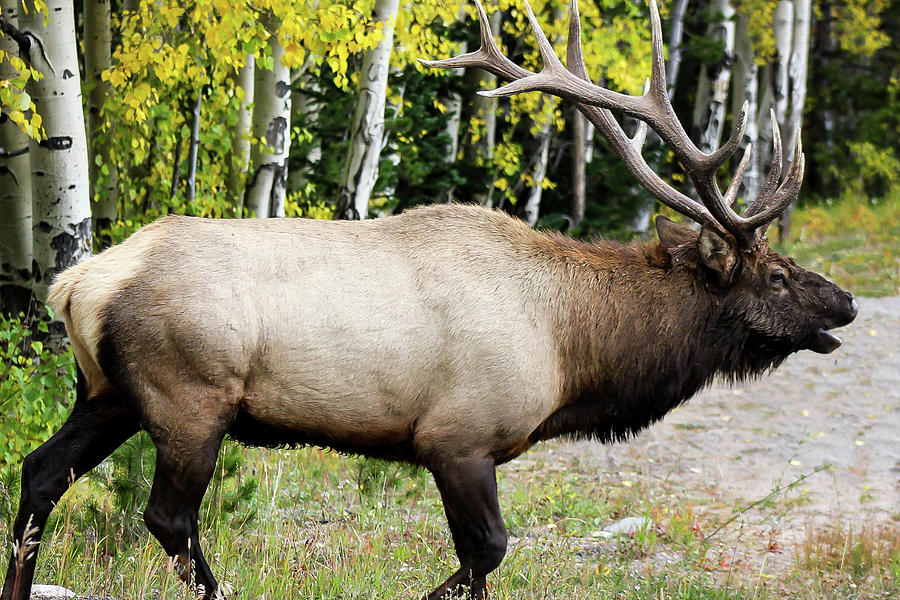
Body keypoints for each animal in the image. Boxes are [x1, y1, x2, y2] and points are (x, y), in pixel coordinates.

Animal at [1, 1, 856, 600]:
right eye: (776, 276)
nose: (845, 303)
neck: (574, 355)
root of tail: (76, 282)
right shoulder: (459, 437)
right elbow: (486, 554)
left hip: (107, 391)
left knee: (41, 472)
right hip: (190, 396)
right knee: (167, 518)